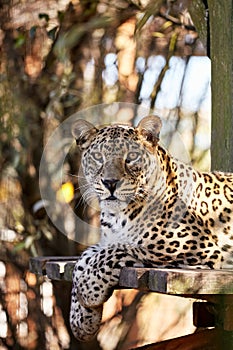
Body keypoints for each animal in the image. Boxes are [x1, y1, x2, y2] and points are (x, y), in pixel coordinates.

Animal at [69, 116, 233, 340]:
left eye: (131, 157)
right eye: (97, 157)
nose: (110, 182)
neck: (117, 216)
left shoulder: (194, 249)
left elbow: (115, 251)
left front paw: (87, 290)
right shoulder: (106, 240)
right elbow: (84, 258)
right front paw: (81, 319)